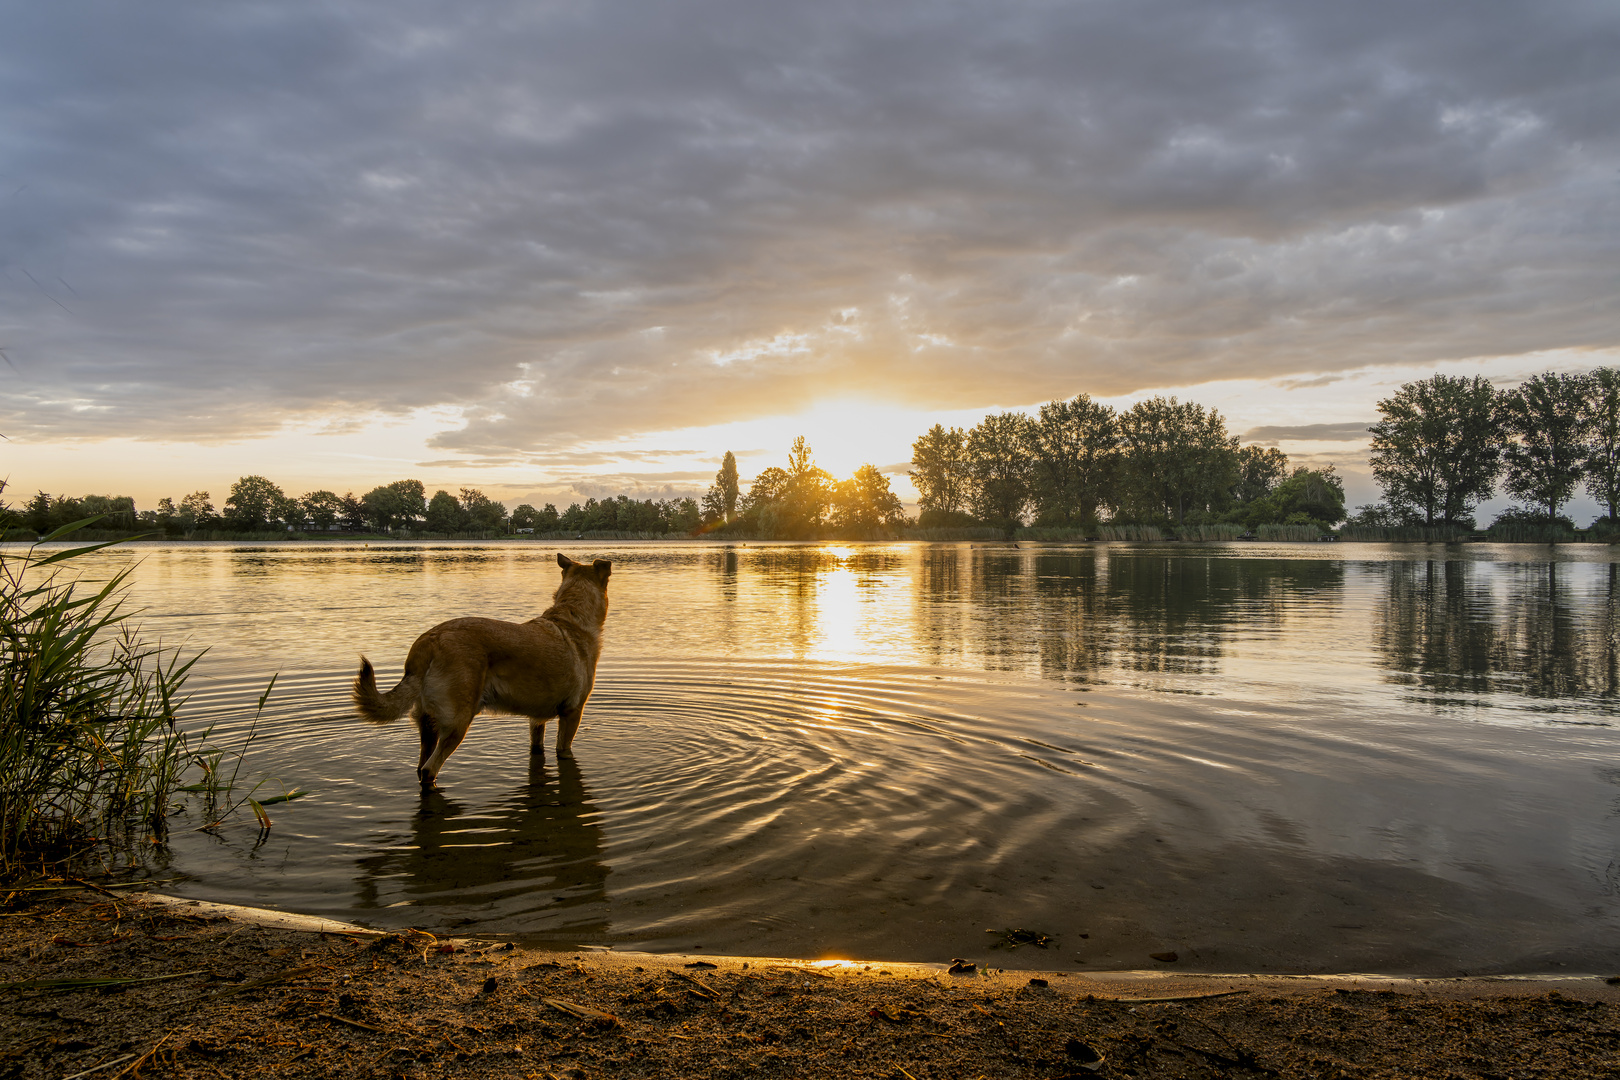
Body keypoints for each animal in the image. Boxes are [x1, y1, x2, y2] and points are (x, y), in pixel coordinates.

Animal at [351, 557, 609, 786]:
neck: (571, 616)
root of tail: (428, 641)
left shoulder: (536, 720)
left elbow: (537, 749)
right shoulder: (572, 713)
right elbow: (564, 750)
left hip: (428, 726)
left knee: (420, 766)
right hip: (457, 723)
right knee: (429, 770)